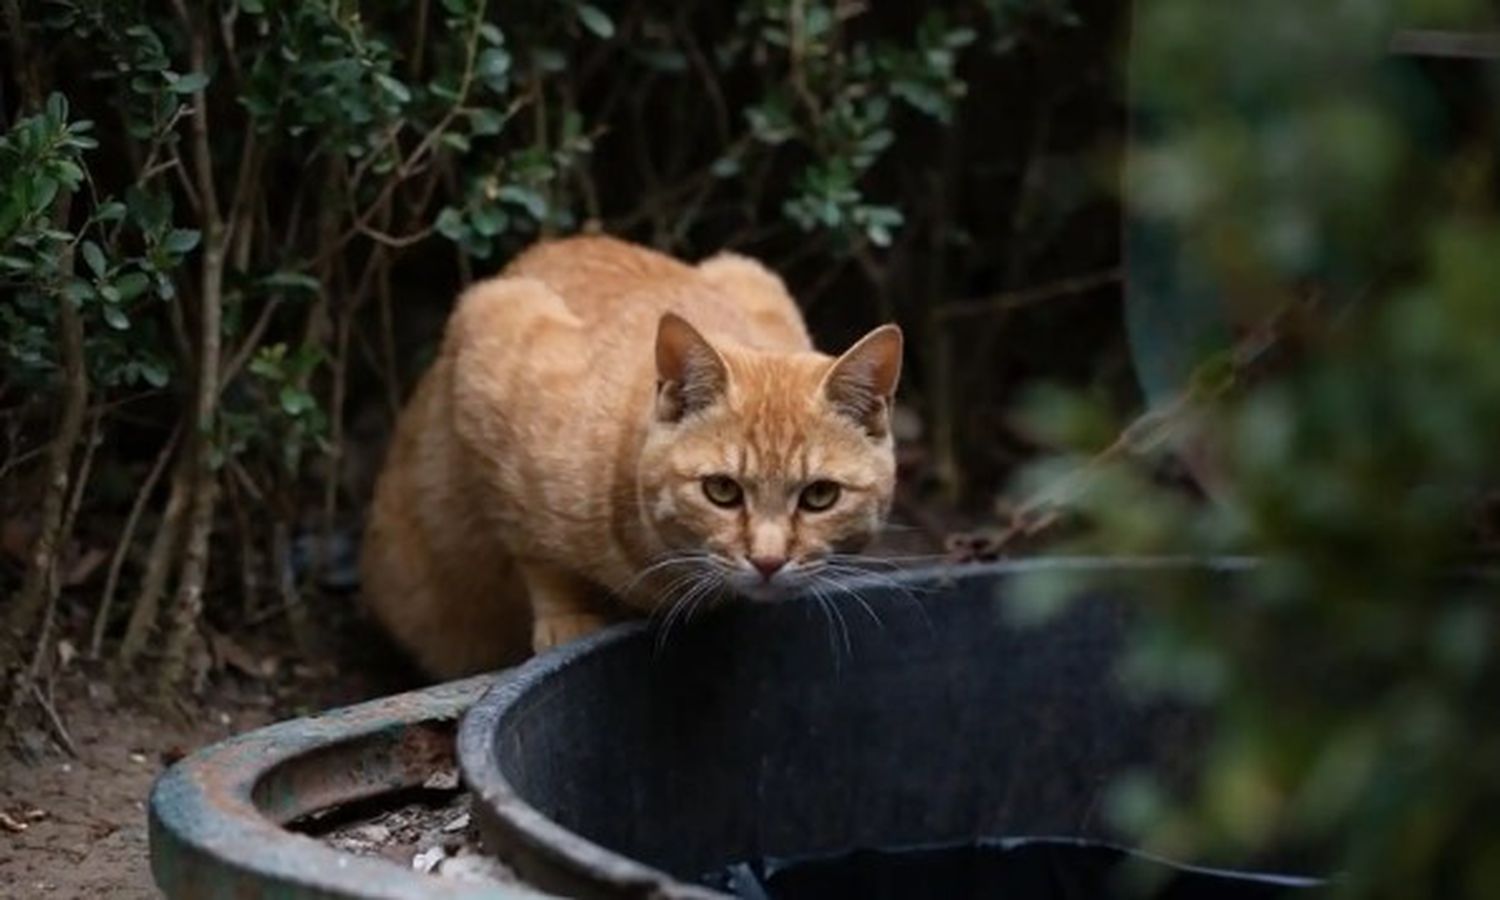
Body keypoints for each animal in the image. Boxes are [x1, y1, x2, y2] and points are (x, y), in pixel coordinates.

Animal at [360, 235, 900, 678]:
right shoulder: (490, 333)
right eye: (721, 490)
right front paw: (568, 619)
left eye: (820, 496)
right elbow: (535, 551)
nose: (768, 562)